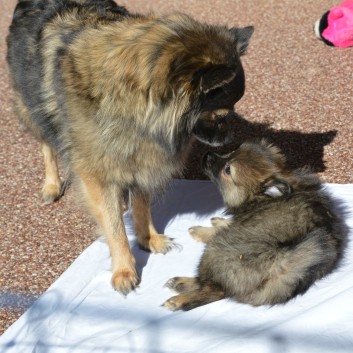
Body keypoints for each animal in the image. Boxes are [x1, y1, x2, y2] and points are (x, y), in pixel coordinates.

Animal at [6, 0, 253, 292]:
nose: (229, 140)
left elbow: (142, 204)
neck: (133, 99)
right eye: (220, 115)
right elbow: (114, 225)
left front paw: (149, 239)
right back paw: (52, 185)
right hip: (30, 105)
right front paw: (124, 269)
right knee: (46, 143)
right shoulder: (98, 177)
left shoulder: (144, 157)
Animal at [163, 142, 346, 310]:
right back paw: (179, 284)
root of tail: (280, 266)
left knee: (215, 289)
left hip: (214, 252)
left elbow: (220, 229)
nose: (208, 154)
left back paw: (179, 299)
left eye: (228, 170)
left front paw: (202, 230)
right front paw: (219, 221)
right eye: (233, 150)